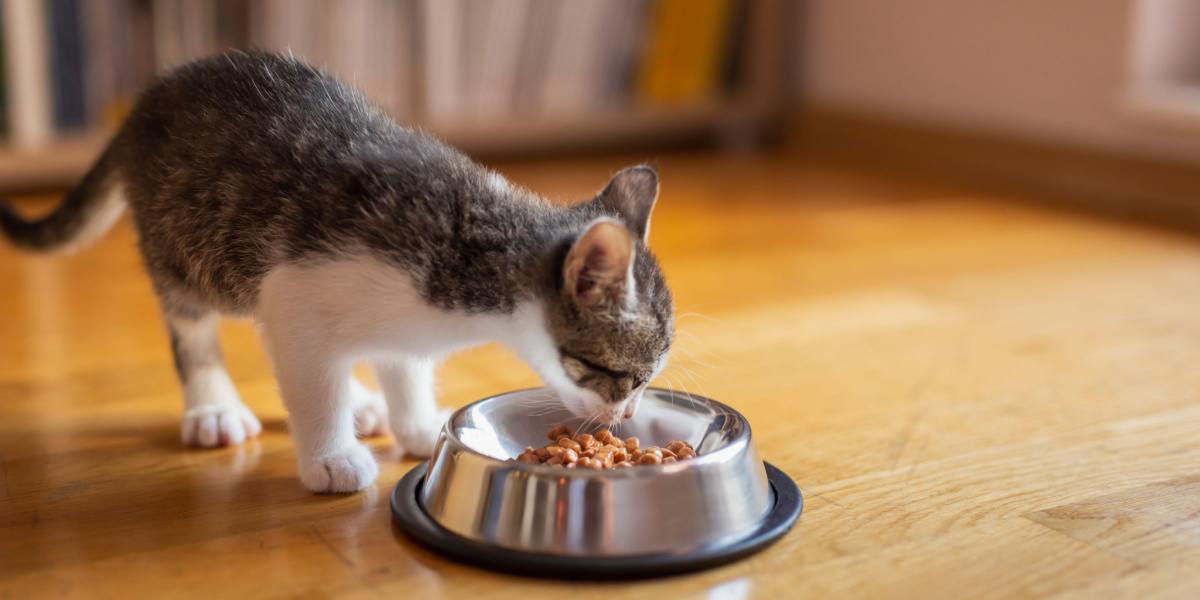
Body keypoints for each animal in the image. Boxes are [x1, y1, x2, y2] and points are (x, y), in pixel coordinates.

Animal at [0, 51, 676, 492]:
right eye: (626, 376)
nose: (625, 419)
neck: (472, 258)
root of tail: (147, 99)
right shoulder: (296, 287)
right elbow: (308, 378)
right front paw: (330, 458)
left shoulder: (391, 317)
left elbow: (400, 363)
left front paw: (413, 422)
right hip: (186, 245)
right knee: (194, 324)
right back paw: (214, 407)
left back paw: (364, 401)